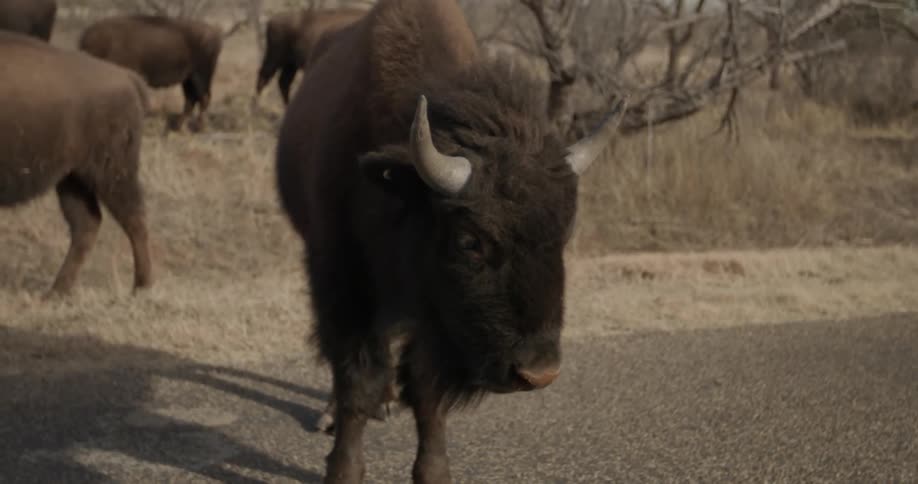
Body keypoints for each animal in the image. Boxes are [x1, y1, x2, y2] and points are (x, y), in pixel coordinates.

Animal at [0, 32, 153, 294]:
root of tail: (127, 78)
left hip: (111, 173)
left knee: (135, 220)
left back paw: (141, 287)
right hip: (72, 179)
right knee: (88, 223)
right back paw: (57, 292)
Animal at [79, 15, 223, 132]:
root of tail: (214, 33)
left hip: (200, 75)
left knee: (203, 98)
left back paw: (198, 128)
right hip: (188, 79)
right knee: (191, 100)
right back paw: (178, 127)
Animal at [275, 0, 621, 482]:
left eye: (563, 234)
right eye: (469, 240)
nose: (539, 373)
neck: (398, 192)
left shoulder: (432, 319)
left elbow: (426, 391)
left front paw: (433, 470)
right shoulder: (344, 284)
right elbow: (354, 381)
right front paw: (343, 469)